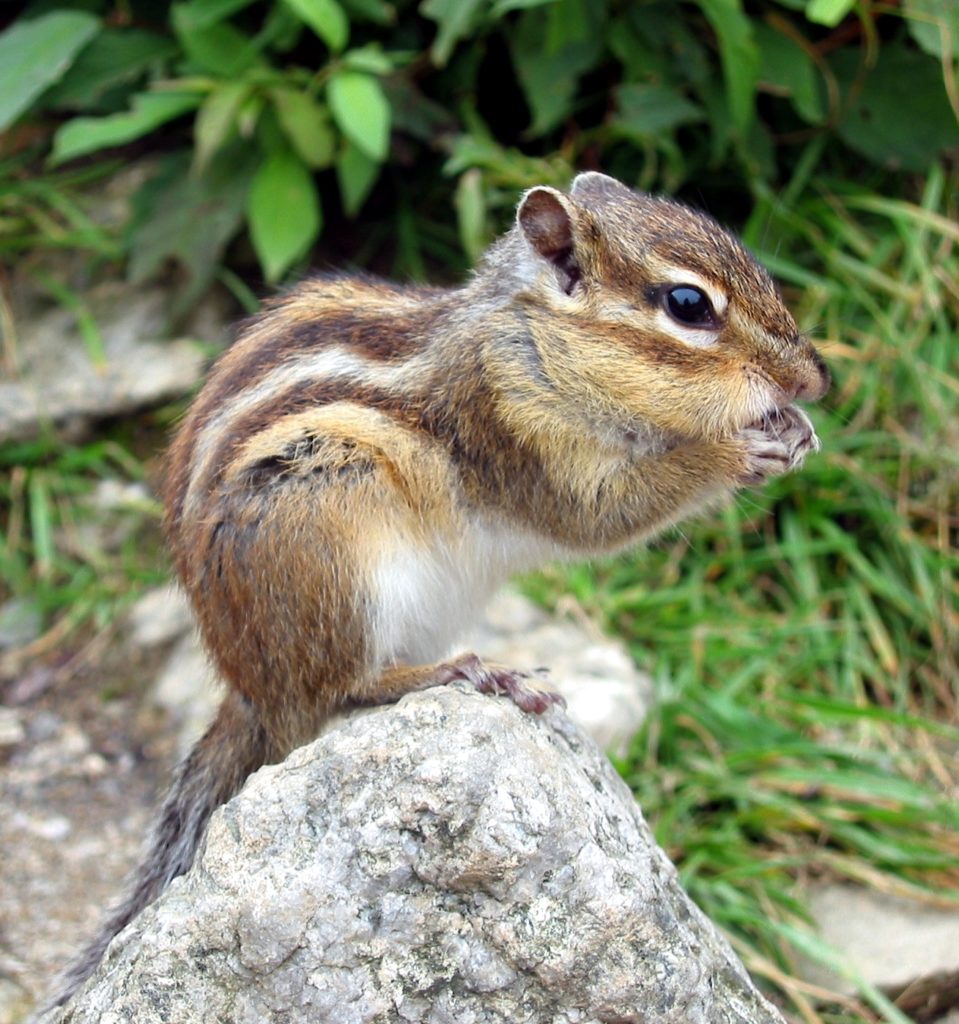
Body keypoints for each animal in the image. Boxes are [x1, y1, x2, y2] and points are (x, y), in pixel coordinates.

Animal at [51, 171, 828, 1005]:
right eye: (687, 305)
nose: (816, 377)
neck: (533, 346)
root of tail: (250, 688)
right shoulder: (511, 431)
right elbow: (602, 513)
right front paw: (736, 449)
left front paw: (795, 427)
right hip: (331, 539)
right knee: (337, 692)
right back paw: (460, 673)